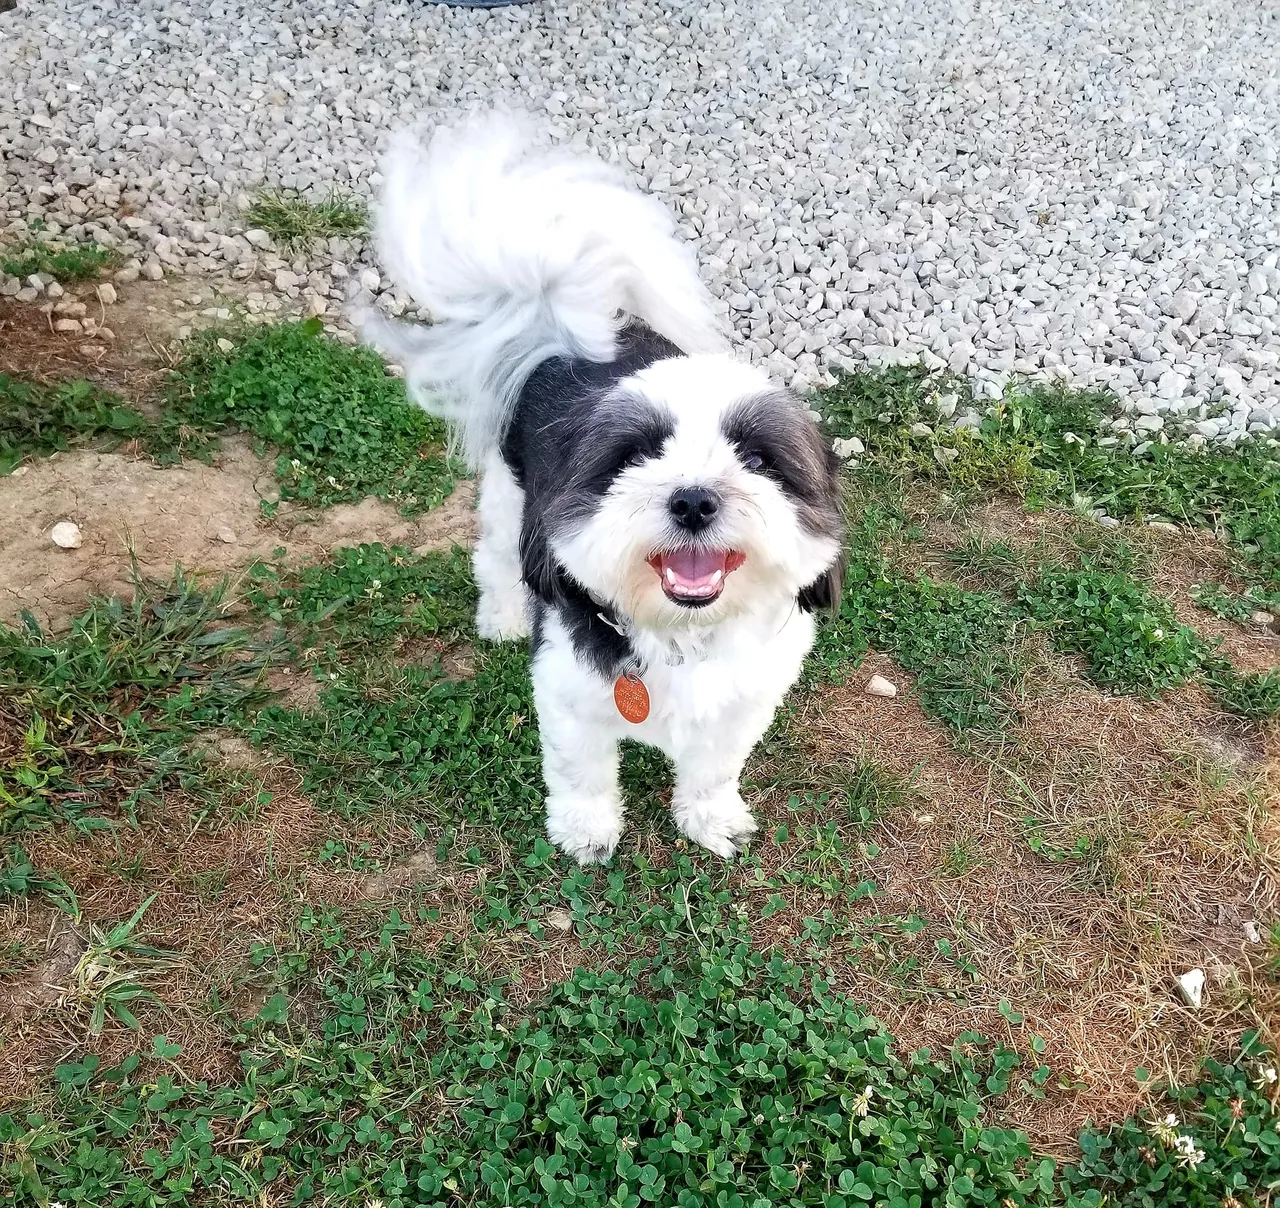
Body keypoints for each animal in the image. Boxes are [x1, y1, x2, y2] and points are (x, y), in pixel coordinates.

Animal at [363, 117, 839, 865]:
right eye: (633, 456)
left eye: (759, 459)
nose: (693, 499)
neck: (680, 638)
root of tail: (558, 324)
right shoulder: (567, 693)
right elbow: (581, 770)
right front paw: (587, 831)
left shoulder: (744, 700)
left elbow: (714, 767)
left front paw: (710, 818)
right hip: (509, 498)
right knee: (495, 558)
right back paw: (502, 615)